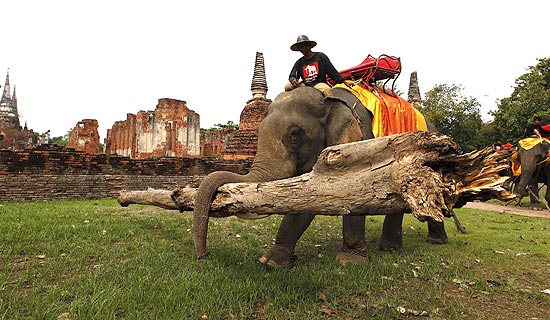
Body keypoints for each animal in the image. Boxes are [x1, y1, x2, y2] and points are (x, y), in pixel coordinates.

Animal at [192, 85, 450, 268]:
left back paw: (429, 243)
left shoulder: (361, 139)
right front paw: (272, 262)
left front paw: (348, 262)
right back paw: (392, 248)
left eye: (295, 134)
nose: (203, 255)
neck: (328, 98)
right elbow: (307, 196)